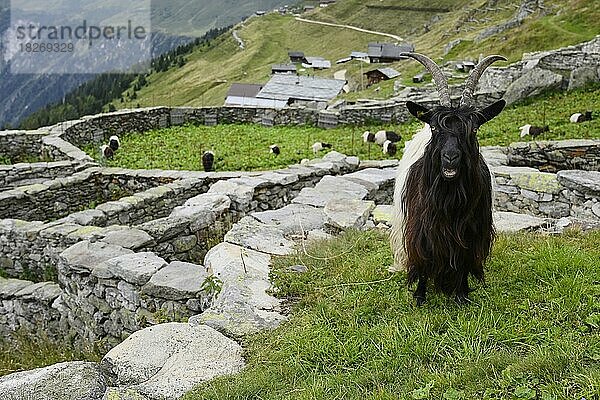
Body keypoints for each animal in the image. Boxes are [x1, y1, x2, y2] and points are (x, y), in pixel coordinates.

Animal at [390, 51, 506, 304]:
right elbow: (422, 259)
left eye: (473, 129)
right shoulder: (420, 228)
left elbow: (463, 261)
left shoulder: (471, 232)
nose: (450, 158)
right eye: (435, 128)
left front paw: (461, 294)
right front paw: (420, 296)